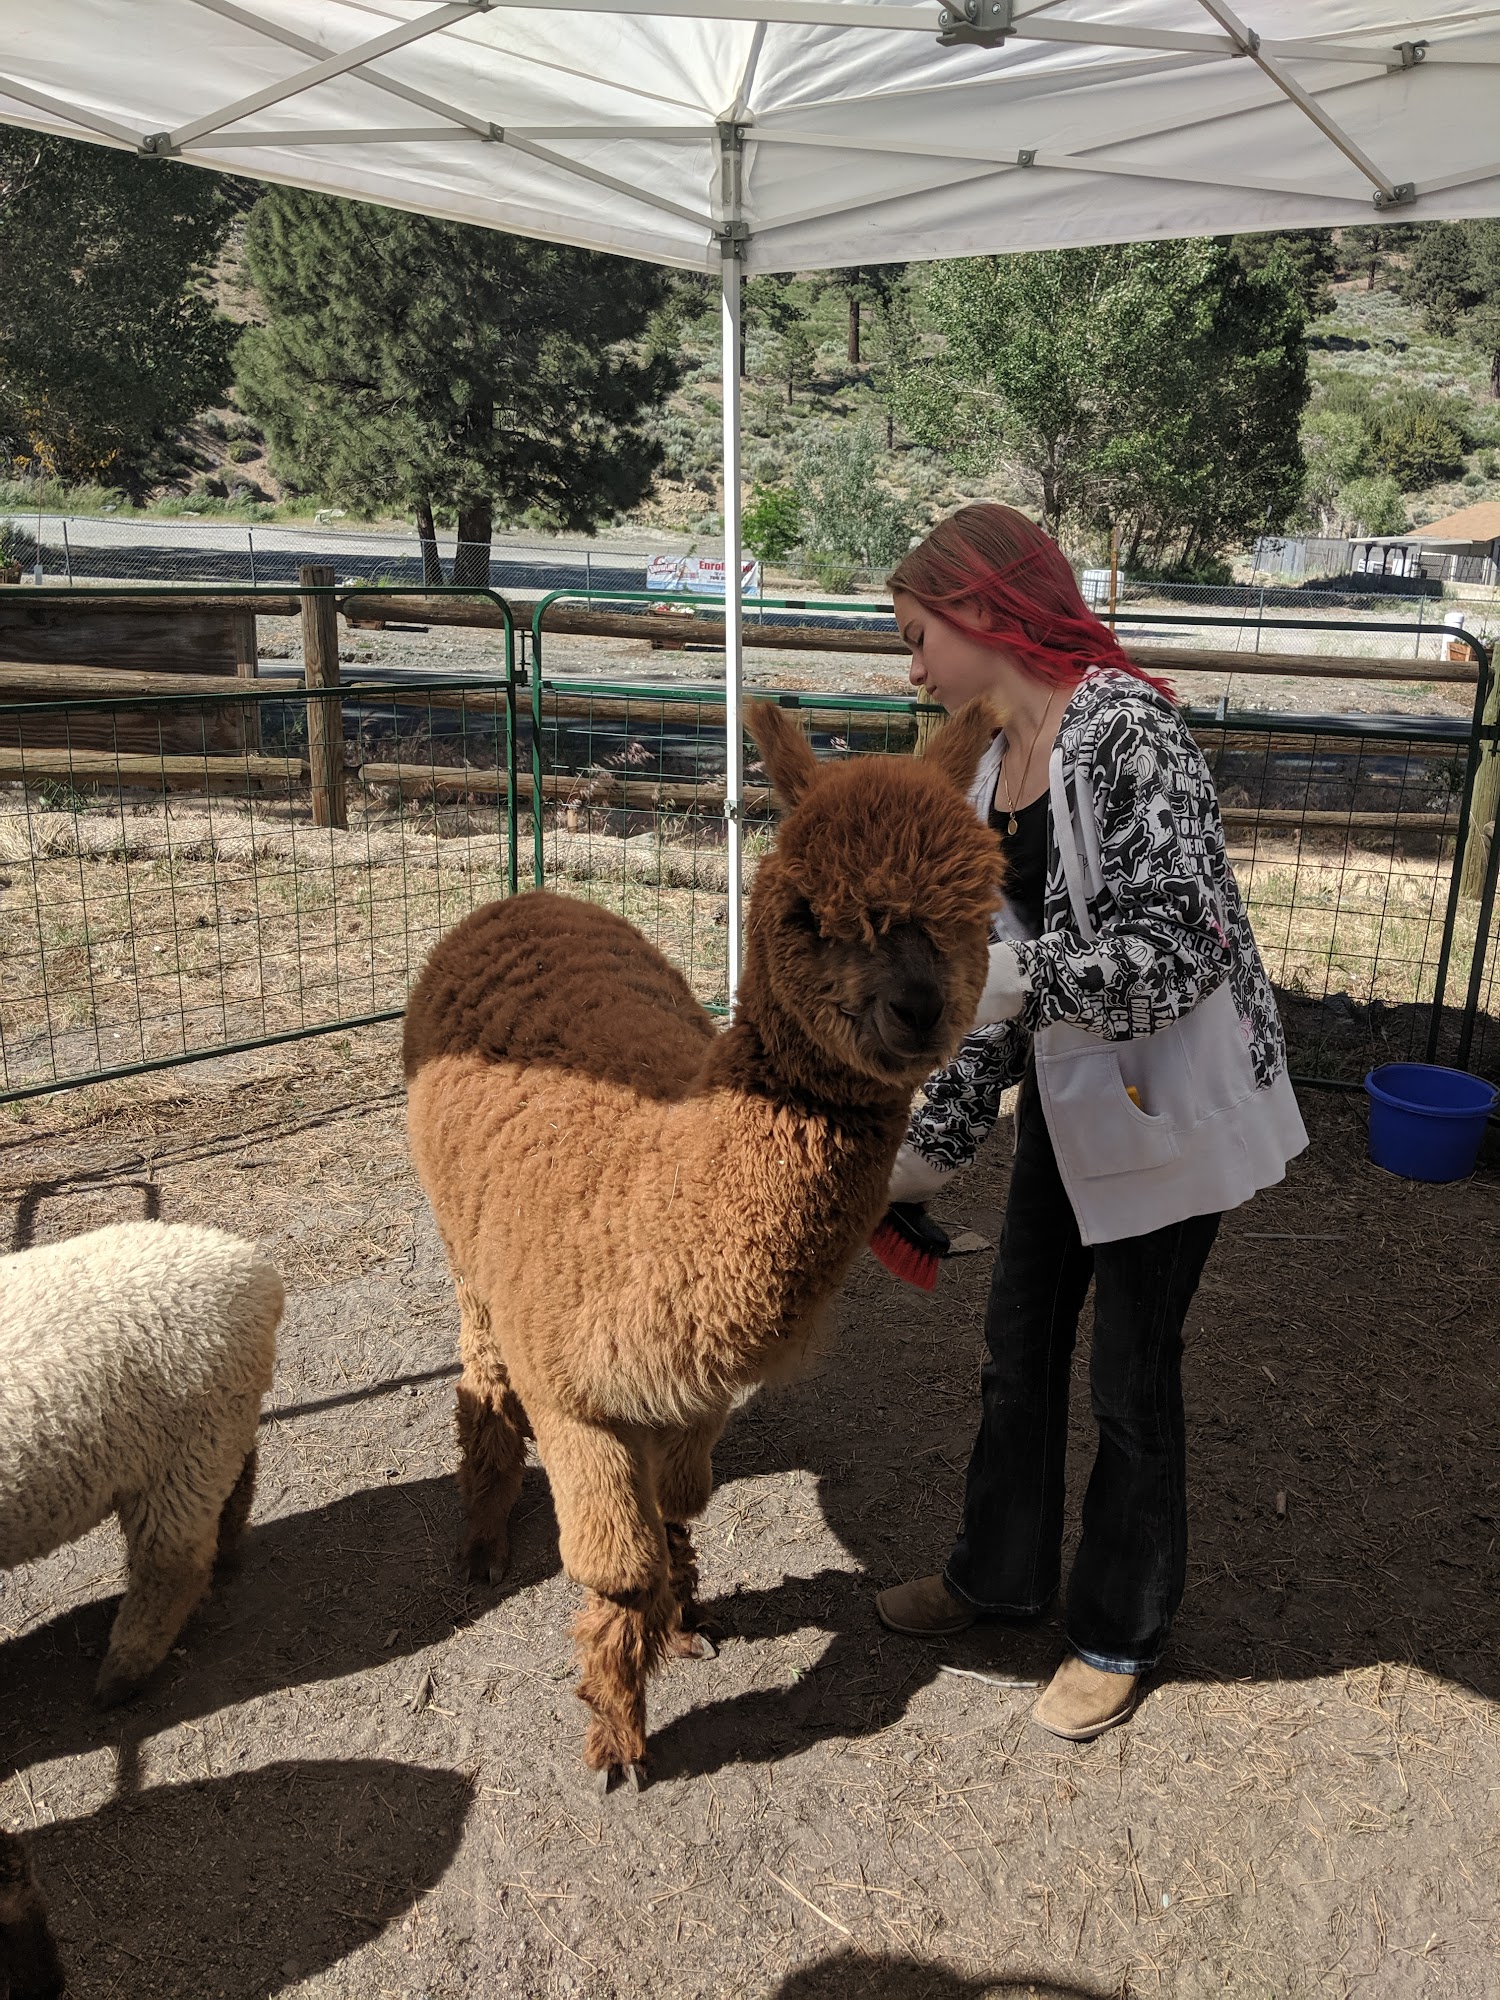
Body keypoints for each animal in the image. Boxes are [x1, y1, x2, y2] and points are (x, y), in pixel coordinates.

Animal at [403, 698, 1003, 1786]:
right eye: (809, 912)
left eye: (978, 911)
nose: (918, 1008)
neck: (657, 1186)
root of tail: (526, 895)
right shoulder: (575, 1391)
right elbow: (615, 1563)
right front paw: (616, 1730)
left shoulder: (697, 1386)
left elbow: (679, 1506)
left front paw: (682, 1622)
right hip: (469, 1254)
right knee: (482, 1364)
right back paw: (482, 1534)